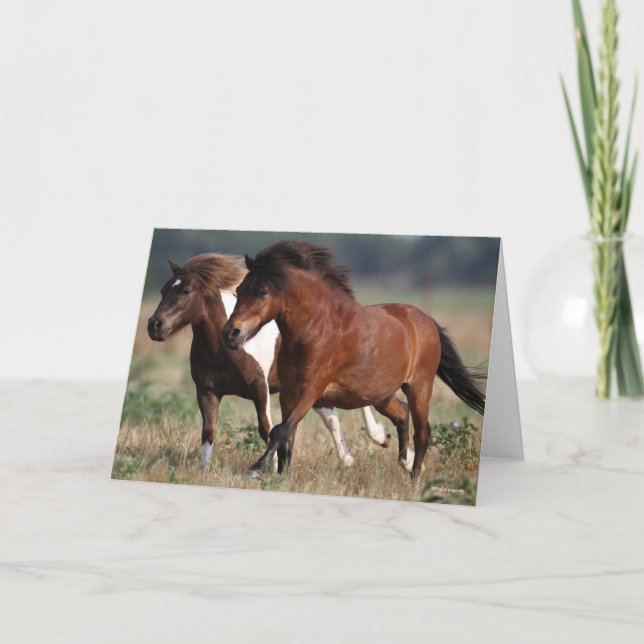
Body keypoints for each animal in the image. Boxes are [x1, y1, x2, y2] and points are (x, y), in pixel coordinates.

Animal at [146, 253, 389, 469]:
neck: (222, 349)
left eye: (185, 291)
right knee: (331, 417)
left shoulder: (259, 389)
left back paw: (379, 436)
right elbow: (209, 432)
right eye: (163, 290)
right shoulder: (207, 391)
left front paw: (268, 468)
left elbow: (266, 428)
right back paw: (347, 460)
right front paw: (204, 470)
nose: (154, 326)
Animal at [222, 240, 486, 481]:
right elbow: (288, 434)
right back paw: (404, 461)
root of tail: (427, 321)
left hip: (419, 388)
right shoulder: (289, 392)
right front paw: (281, 476)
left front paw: (256, 469)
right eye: (238, 291)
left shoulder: (311, 390)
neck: (316, 328)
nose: (230, 333)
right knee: (403, 414)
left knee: (422, 432)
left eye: (262, 291)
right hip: (381, 395)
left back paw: (414, 478)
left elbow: (279, 430)